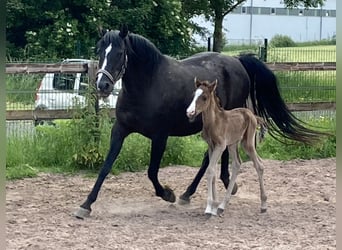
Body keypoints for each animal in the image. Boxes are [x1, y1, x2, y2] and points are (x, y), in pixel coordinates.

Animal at [75, 24, 324, 218]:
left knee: (216, 159)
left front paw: (168, 194)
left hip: (226, 121)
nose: (103, 85)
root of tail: (237, 61)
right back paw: (193, 193)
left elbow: (152, 172)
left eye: (119, 52)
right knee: (210, 158)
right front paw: (86, 205)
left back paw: (208, 189)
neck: (148, 85)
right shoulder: (120, 130)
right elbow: (106, 167)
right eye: (99, 50)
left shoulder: (160, 136)